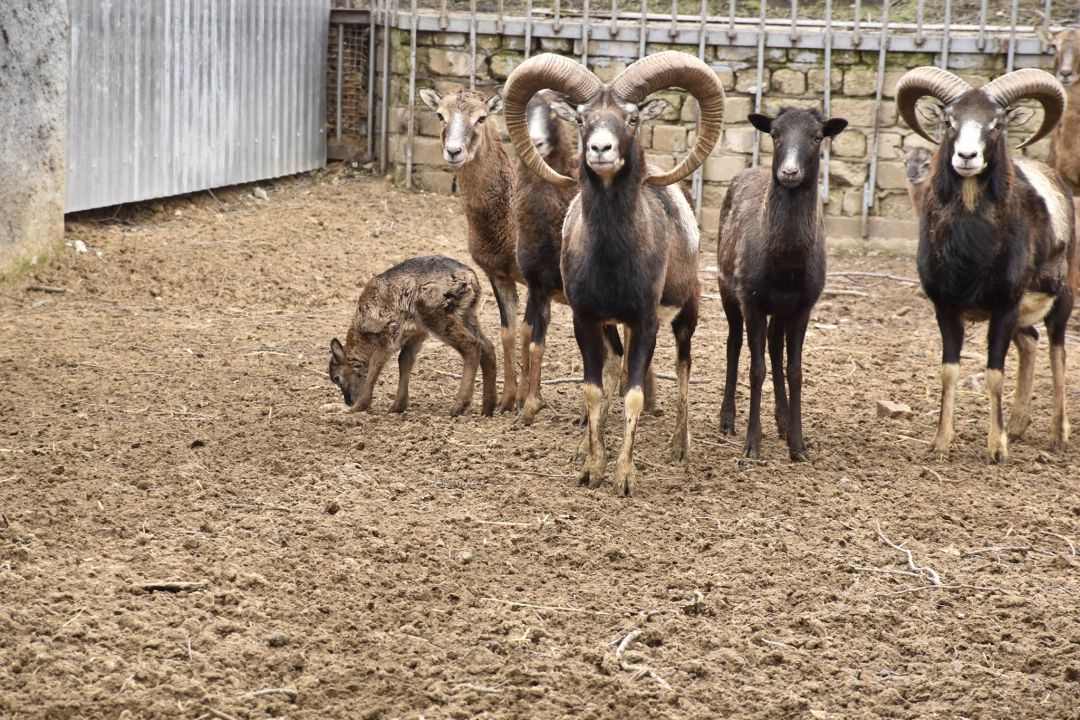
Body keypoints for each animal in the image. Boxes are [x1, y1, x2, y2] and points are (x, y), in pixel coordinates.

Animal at [328, 257, 496, 416]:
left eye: (337, 378)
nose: (349, 401)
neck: (363, 336)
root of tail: (471, 278)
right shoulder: (416, 335)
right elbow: (404, 361)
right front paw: (397, 407)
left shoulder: (388, 335)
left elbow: (376, 365)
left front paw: (359, 407)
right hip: (467, 314)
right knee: (487, 346)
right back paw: (488, 408)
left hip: (435, 314)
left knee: (471, 345)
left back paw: (458, 406)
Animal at [505, 50, 725, 496]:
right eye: (582, 118)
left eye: (632, 117)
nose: (600, 149)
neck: (611, 261)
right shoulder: (587, 320)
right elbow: (594, 389)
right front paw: (591, 467)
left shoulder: (645, 323)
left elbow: (635, 395)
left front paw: (625, 478)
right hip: (614, 326)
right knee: (613, 370)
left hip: (686, 315)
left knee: (683, 368)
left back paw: (679, 448)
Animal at [721, 106, 846, 462]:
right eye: (775, 135)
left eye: (817, 137)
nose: (789, 172)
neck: (786, 262)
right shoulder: (751, 299)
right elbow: (756, 369)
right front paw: (752, 445)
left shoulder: (804, 304)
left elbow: (795, 371)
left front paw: (798, 445)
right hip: (727, 290)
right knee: (734, 345)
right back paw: (727, 419)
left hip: (780, 309)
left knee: (776, 347)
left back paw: (782, 420)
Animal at [898, 67, 1075, 462]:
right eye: (950, 120)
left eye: (996, 123)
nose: (967, 156)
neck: (971, 252)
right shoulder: (946, 308)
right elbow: (949, 371)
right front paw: (940, 443)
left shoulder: (1005, 306)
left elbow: (995, 373)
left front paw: (997, 449)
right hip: (1023, 317)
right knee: (1031, 343)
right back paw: (1019, 425)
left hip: (1062, 298)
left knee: (1058, 351)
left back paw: (1058, 435)